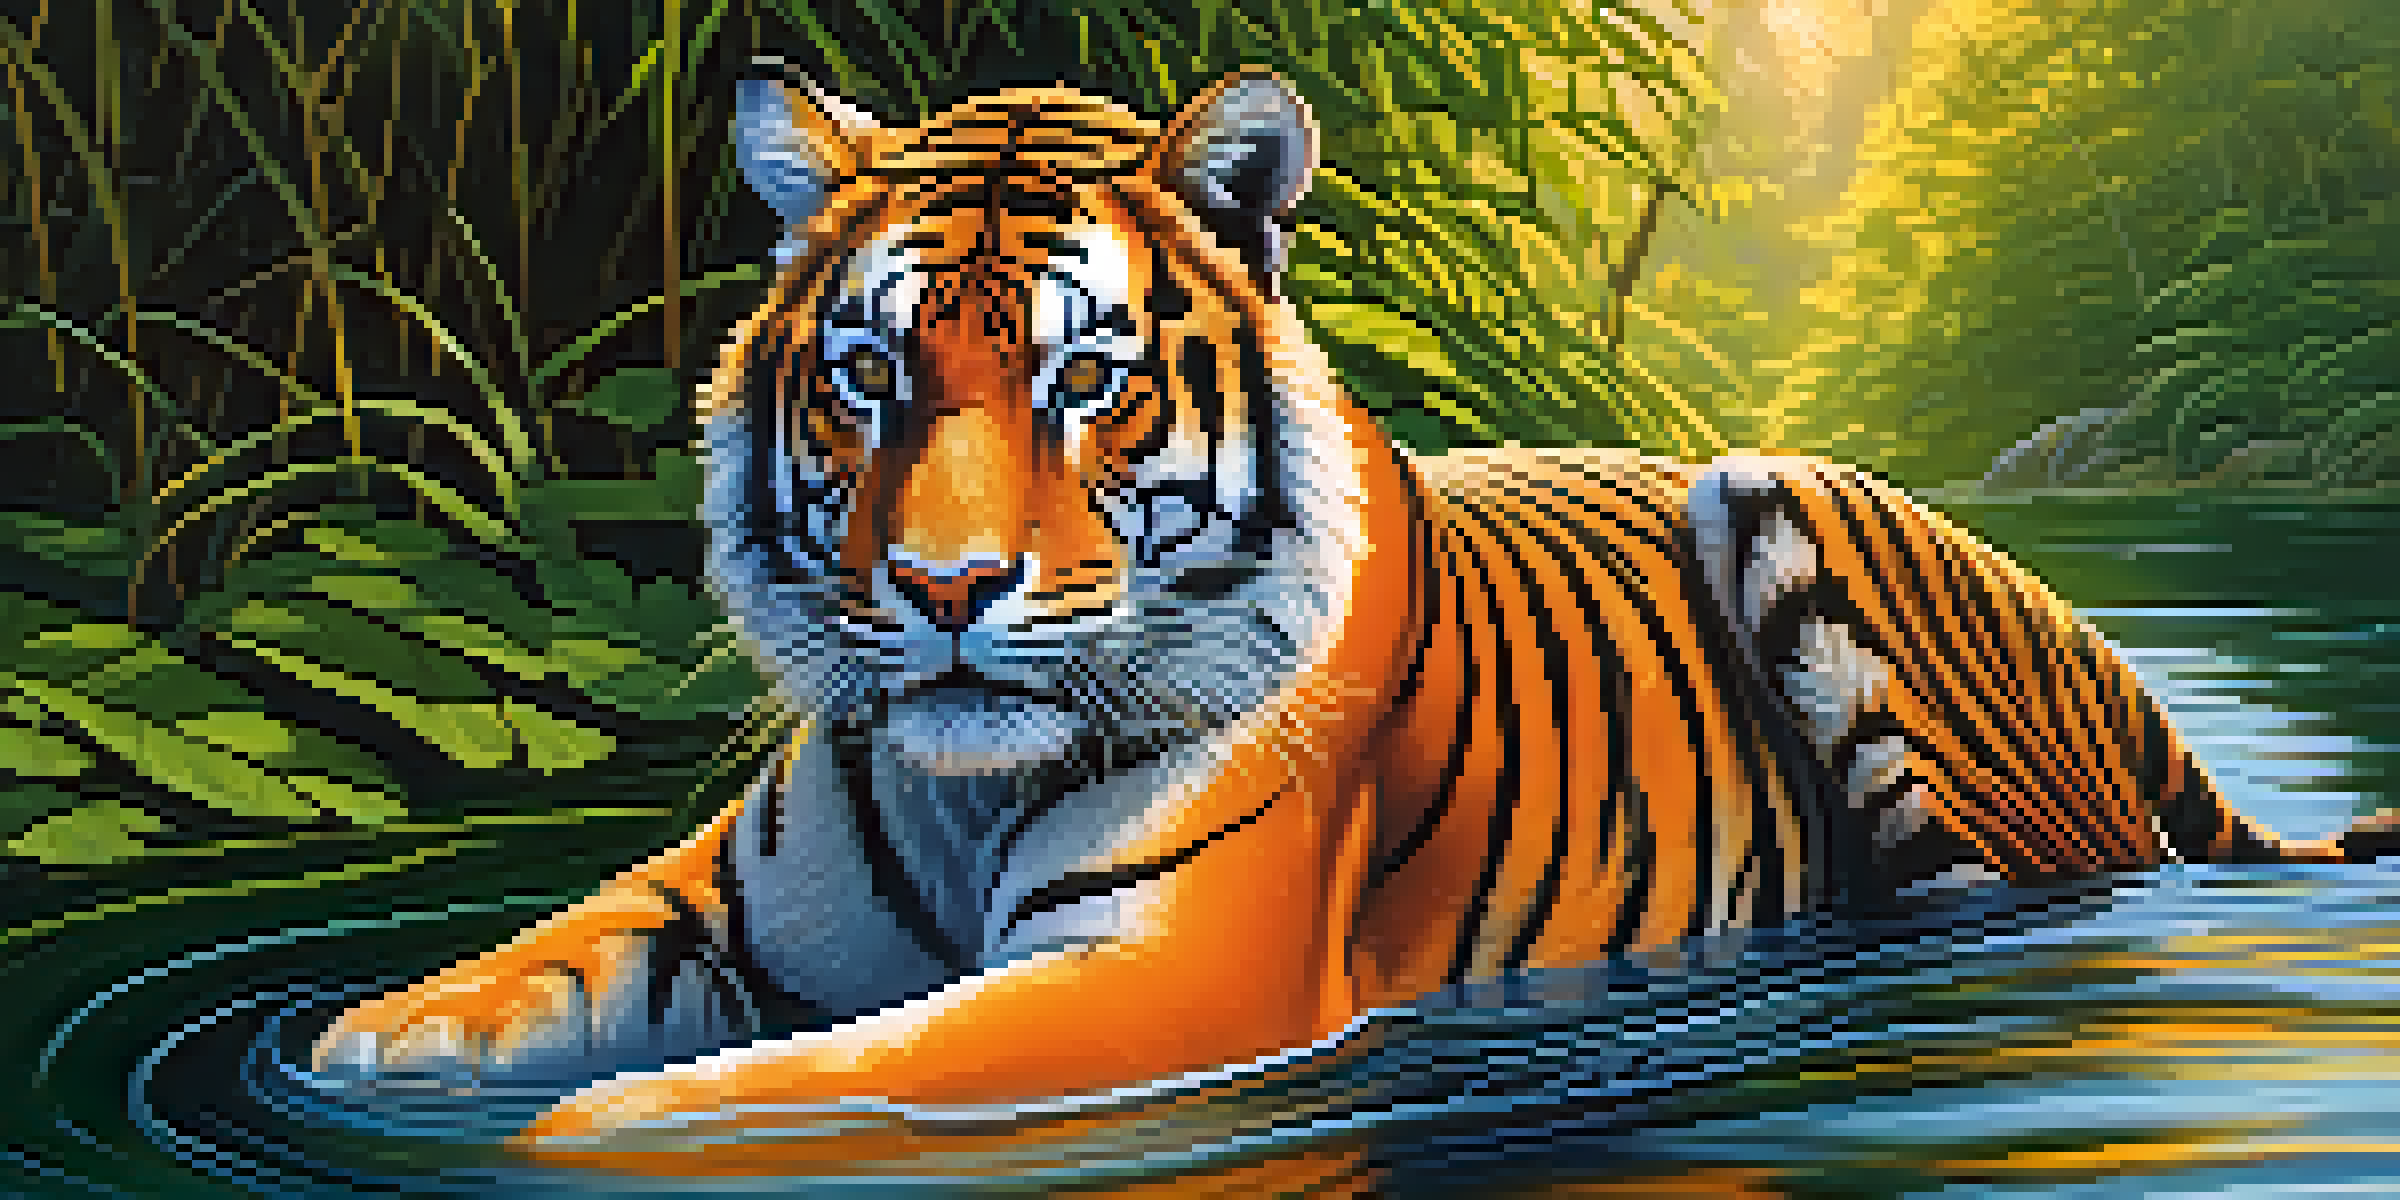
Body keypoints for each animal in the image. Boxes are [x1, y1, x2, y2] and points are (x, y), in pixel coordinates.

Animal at [308, 62, 2395, 1177]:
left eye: (1085, 381)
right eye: (867, 380)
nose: (946, 590)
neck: (958, 794)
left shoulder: (1167, 978)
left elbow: (801, 1081)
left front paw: (563, 1144)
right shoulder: (718, 903)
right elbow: (528, 971)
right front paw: (365, 1055)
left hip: (1791, 507)